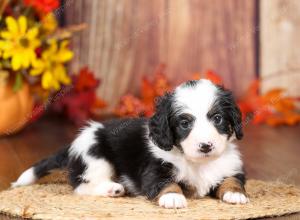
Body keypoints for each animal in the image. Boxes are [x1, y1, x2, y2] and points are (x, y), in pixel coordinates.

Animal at [12, 78, 248, 208]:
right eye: (184, 123)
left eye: (217, 118)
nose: (206, 146)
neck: (198, 162)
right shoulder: (154, 170)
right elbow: (166, 182)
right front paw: (173, 197)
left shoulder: (231, 167)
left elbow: (232, 180)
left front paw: (235, 193)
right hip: (95, 154)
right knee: (81, 186)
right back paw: (112, 189)